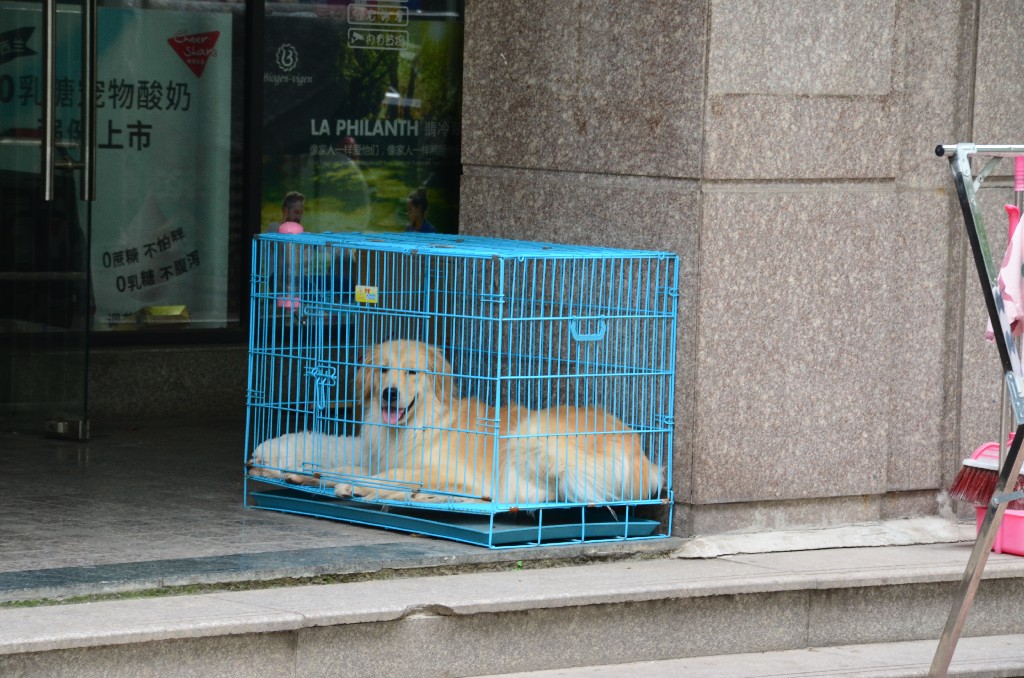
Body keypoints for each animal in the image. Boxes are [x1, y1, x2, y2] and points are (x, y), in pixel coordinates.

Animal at [251, 340, 659, 503]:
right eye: (383, 370)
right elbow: (343, 468)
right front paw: (299, 473)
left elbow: (382, 476)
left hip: (530, 439)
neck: (416, 425)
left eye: (412, 372)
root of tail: (641, 451)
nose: (389, 394)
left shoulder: (451, 473)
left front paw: (362, 487)